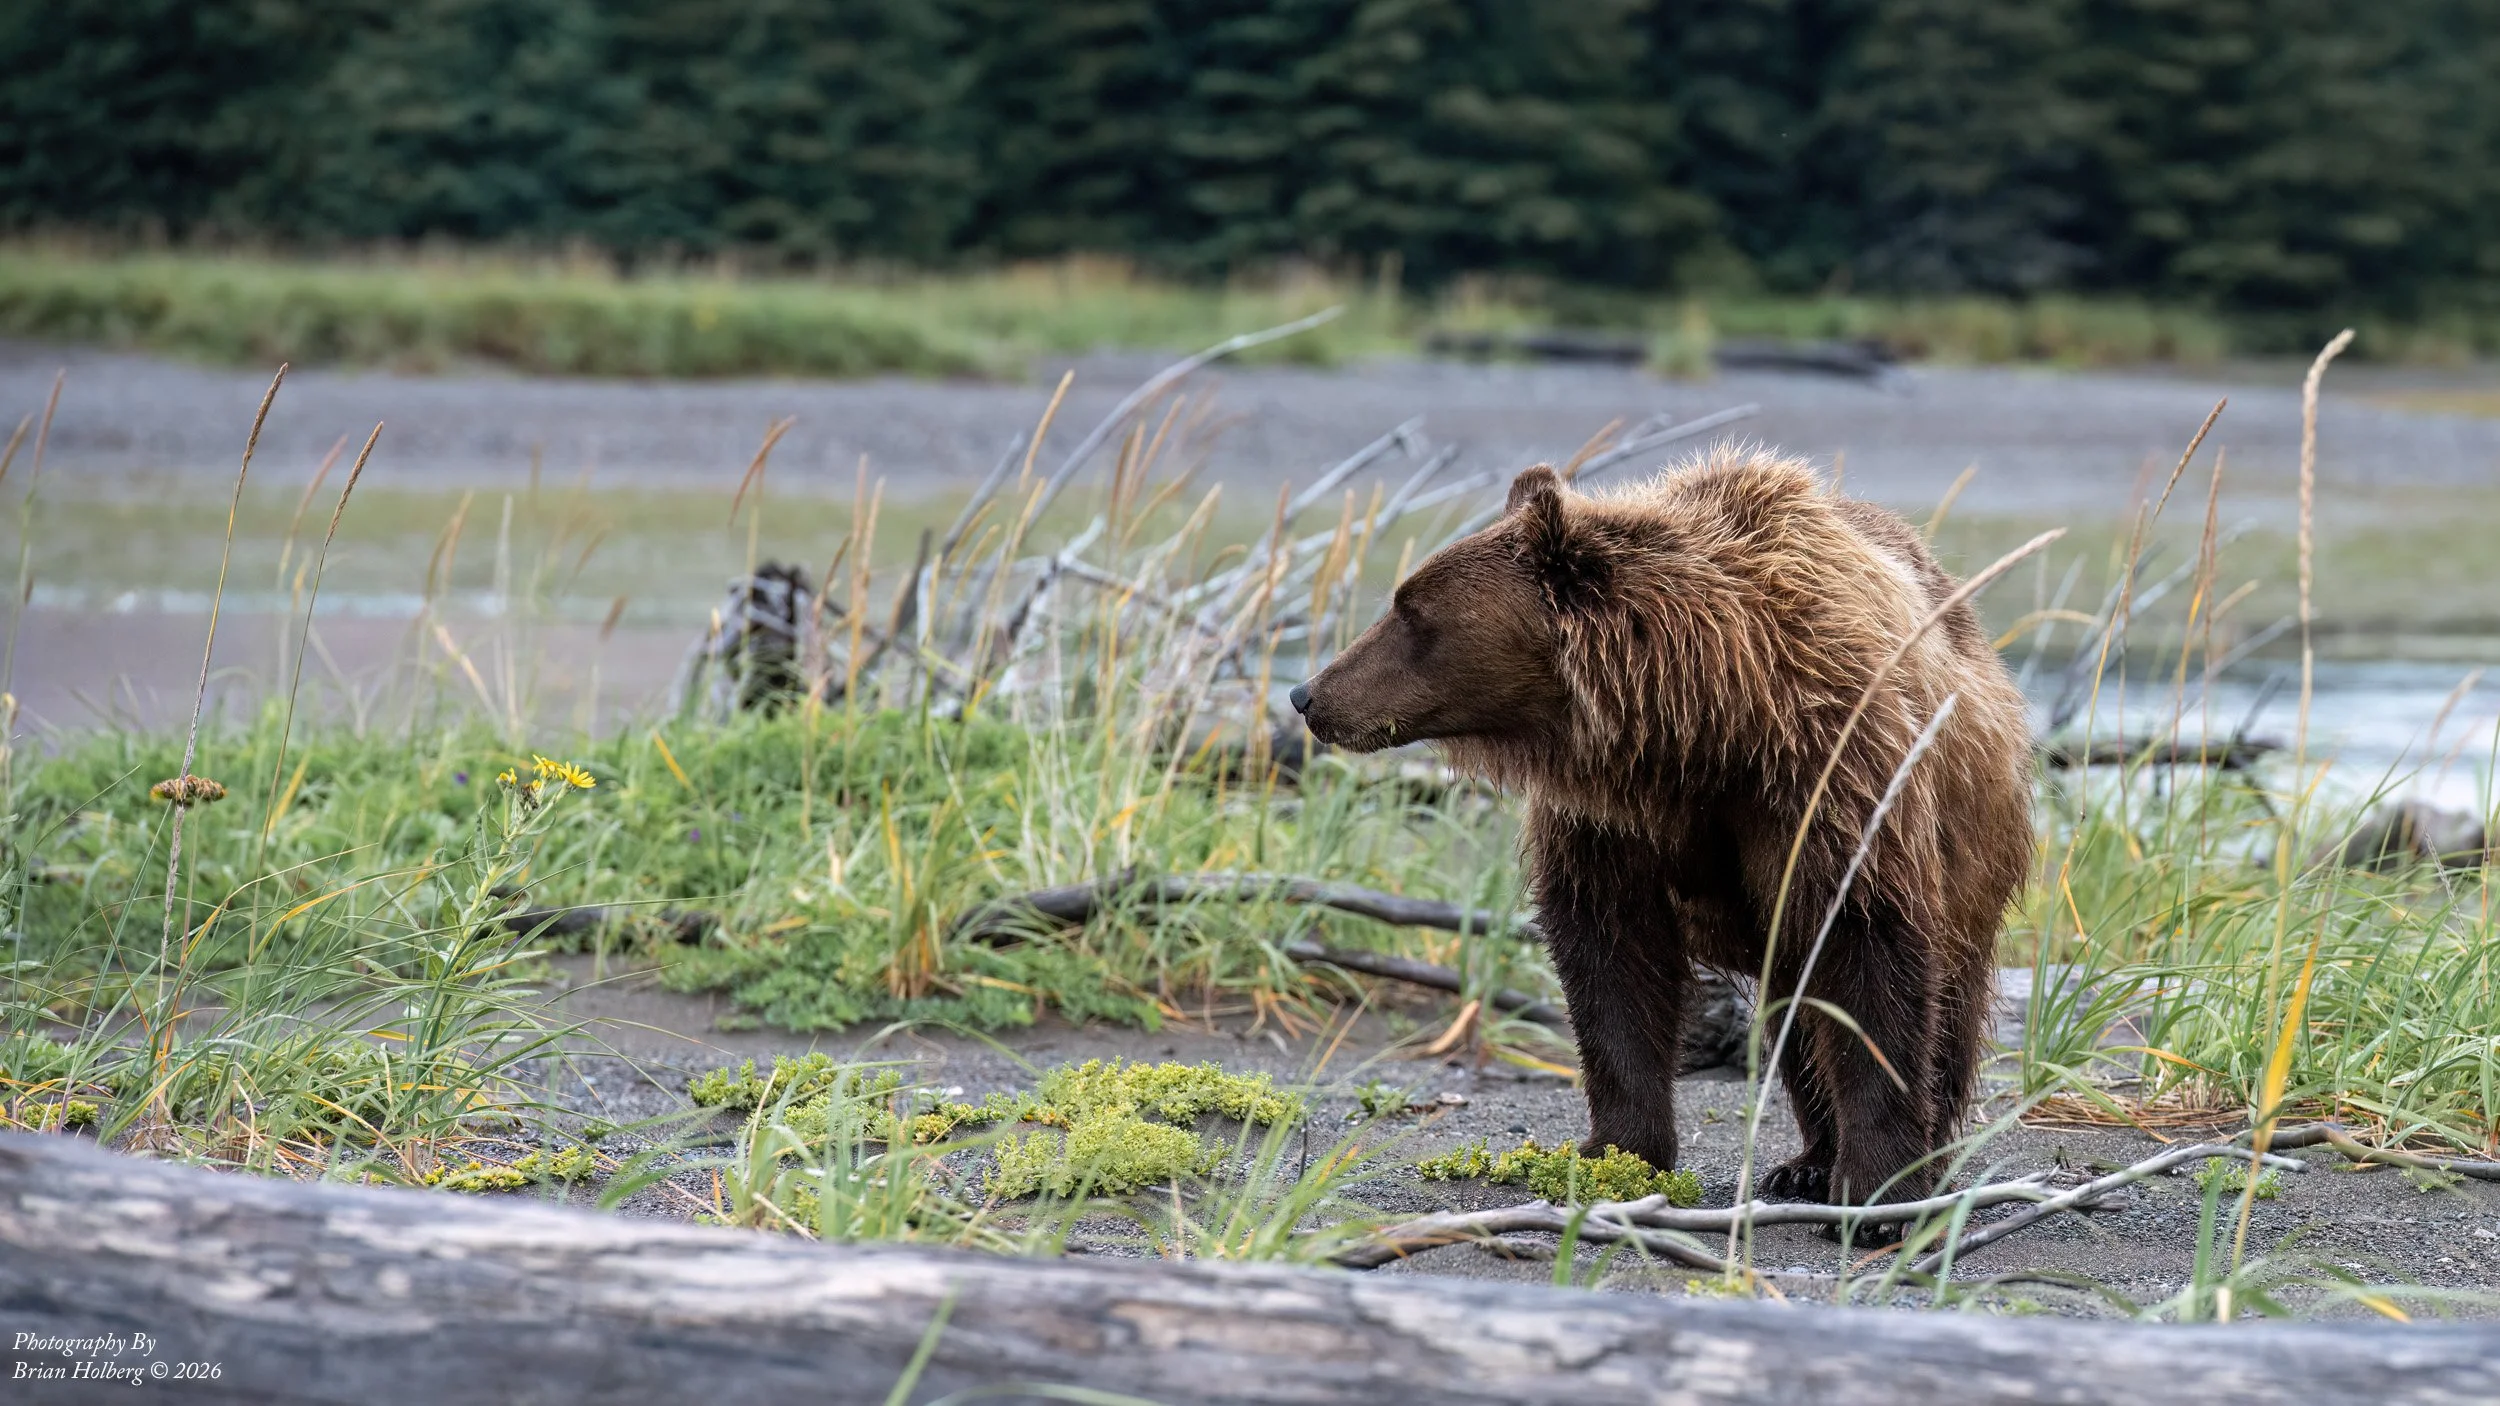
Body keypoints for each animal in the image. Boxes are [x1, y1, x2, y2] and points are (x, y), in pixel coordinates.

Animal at [1289, 447, 2033, 1204]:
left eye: (1412, 611)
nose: (1307, 694)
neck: (1706, 719)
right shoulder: (1611, 817)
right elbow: (1611, 954)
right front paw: (1616, 1148)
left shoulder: (1832, 772)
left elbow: (1867, 947)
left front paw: (1880, 1182)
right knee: (1791, 1013)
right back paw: (1806, 1160)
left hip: (1976, 850)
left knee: (1941, 1004)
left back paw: (1907, 1153)